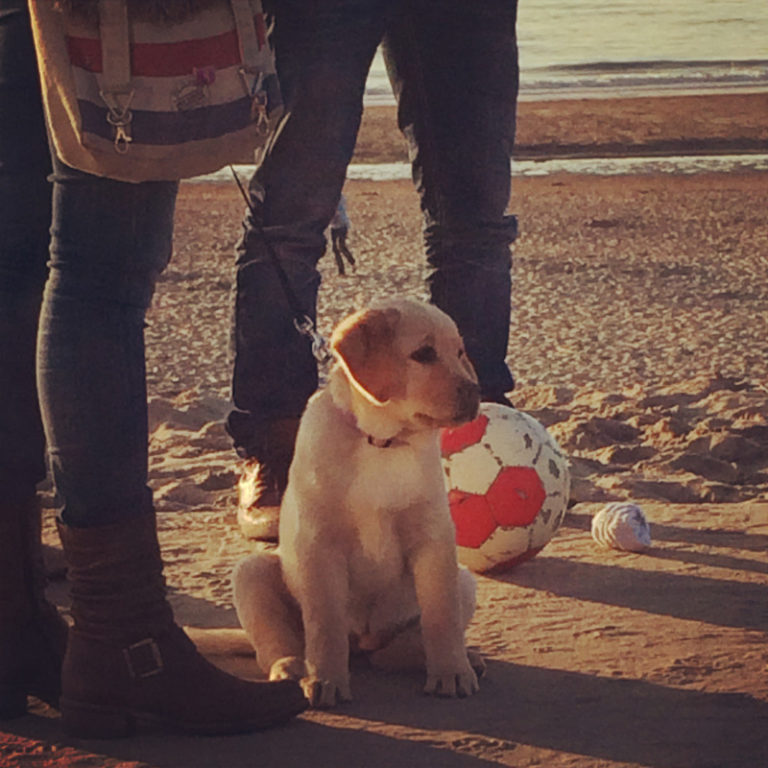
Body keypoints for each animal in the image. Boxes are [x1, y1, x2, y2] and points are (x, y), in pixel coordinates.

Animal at [232, 296, 480, 704]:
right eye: (424, 354)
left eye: (460, 352)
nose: (476, 394)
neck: (380, 441)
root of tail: (363, 642)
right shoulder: (319, 545)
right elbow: (325, 625)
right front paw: (326, 680)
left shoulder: (434, 540)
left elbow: (442, 616)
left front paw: (452, 672)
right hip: (250, 574)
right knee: (280, 643)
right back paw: (292, 668)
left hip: (464, 580)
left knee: (395, 650)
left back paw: (461, 659)